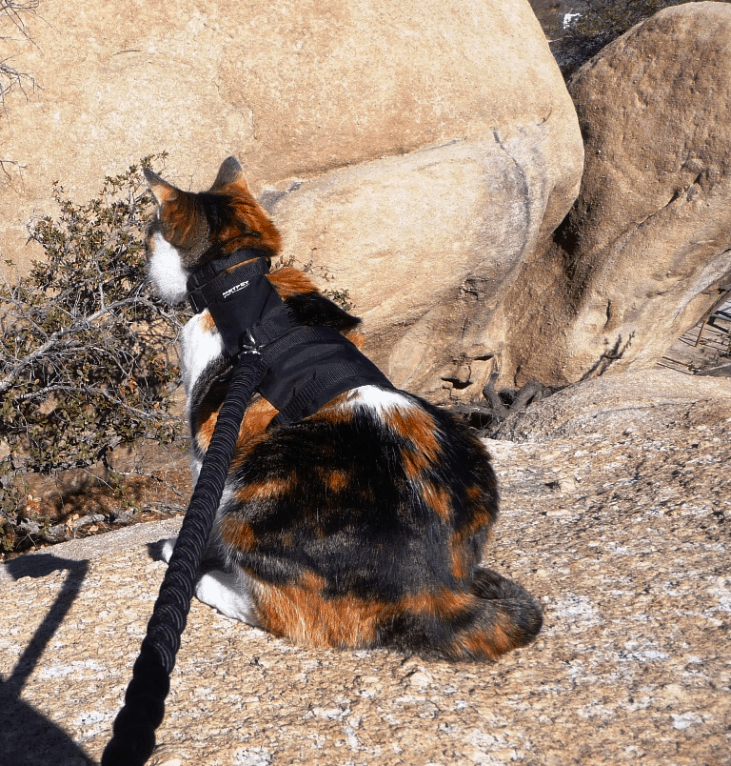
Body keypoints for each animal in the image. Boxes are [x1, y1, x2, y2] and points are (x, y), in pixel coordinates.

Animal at [144, 158, 544, 660]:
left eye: (150, 232)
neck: (242, 291)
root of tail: (435, 588)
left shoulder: (209, 443)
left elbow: (202, 516)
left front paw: (188, 554)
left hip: (253, 490)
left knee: (287, 613)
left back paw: (202, 578)